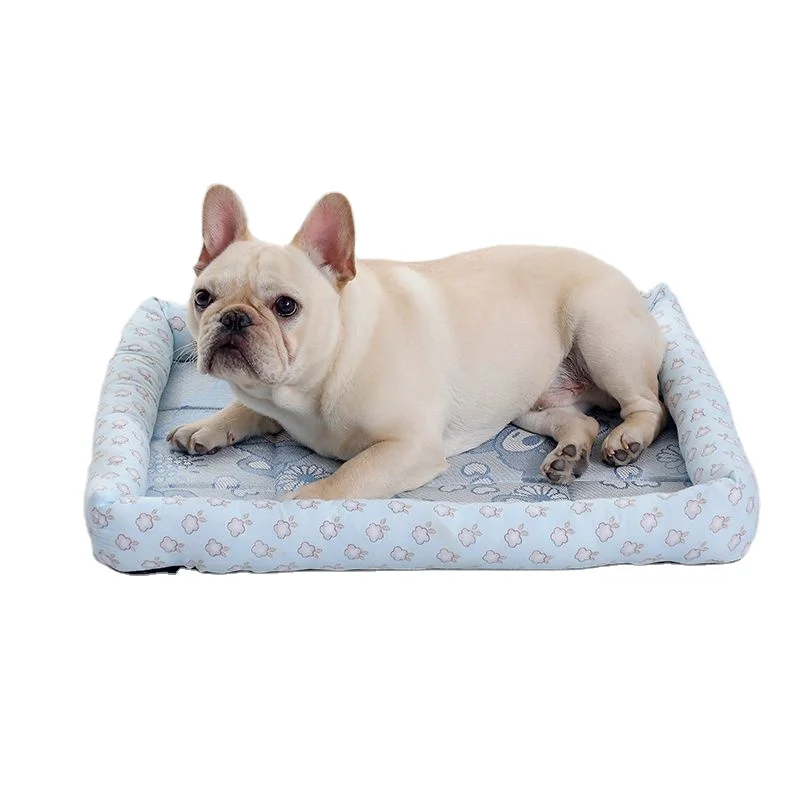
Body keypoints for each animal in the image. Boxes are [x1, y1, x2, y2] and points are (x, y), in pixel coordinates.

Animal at [167, 185, 667, 500]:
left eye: (286, 306)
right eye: (202, 298)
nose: (233, 318)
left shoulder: (408, 448)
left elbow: (345, 478)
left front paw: (299, 505)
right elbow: (244, 408)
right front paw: (205, 427)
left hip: (603, 336)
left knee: (649, 406)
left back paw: (628, 439)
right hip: (527, 404)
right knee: (580, 421)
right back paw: (569, 455)